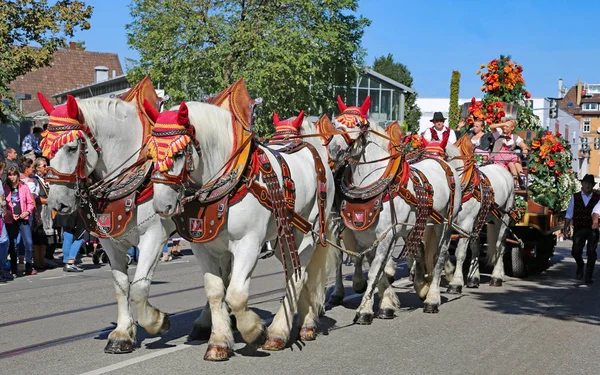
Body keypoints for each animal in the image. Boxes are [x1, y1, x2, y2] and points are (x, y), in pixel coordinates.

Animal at [38, 94, 176, 356]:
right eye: (46, 151)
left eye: (72, 148)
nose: (57, 203)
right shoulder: (110, 241)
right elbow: (121, 285)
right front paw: (122, 334)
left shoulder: (154, 235)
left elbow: (140, 286)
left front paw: (158, 321)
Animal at [149, 102, 336, 362]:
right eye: (150, 154)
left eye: (177, 153)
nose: (161, 206)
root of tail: (316, 153)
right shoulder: (203, 247)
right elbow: (216, 292)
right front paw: (218, 342)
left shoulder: (248, 243)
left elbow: (236, 295)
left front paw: (254, 330)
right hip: (282, 240)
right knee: (300, 274)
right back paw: (306, 324)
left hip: (308, 234)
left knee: (297, 278)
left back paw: (278, 332)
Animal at [322, 97, 462, 320]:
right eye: (336, 124)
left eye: (359, 125)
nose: (334, 149)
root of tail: (442, 162)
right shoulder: (364, 233)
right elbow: (375, 267)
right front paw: (386, 303)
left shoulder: (386, 234)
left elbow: (376, 270)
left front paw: (365, 310)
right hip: (418, 225)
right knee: (419, 250)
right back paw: (422, 286)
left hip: (445, 225)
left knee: (440, 257)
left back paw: (432, 298)